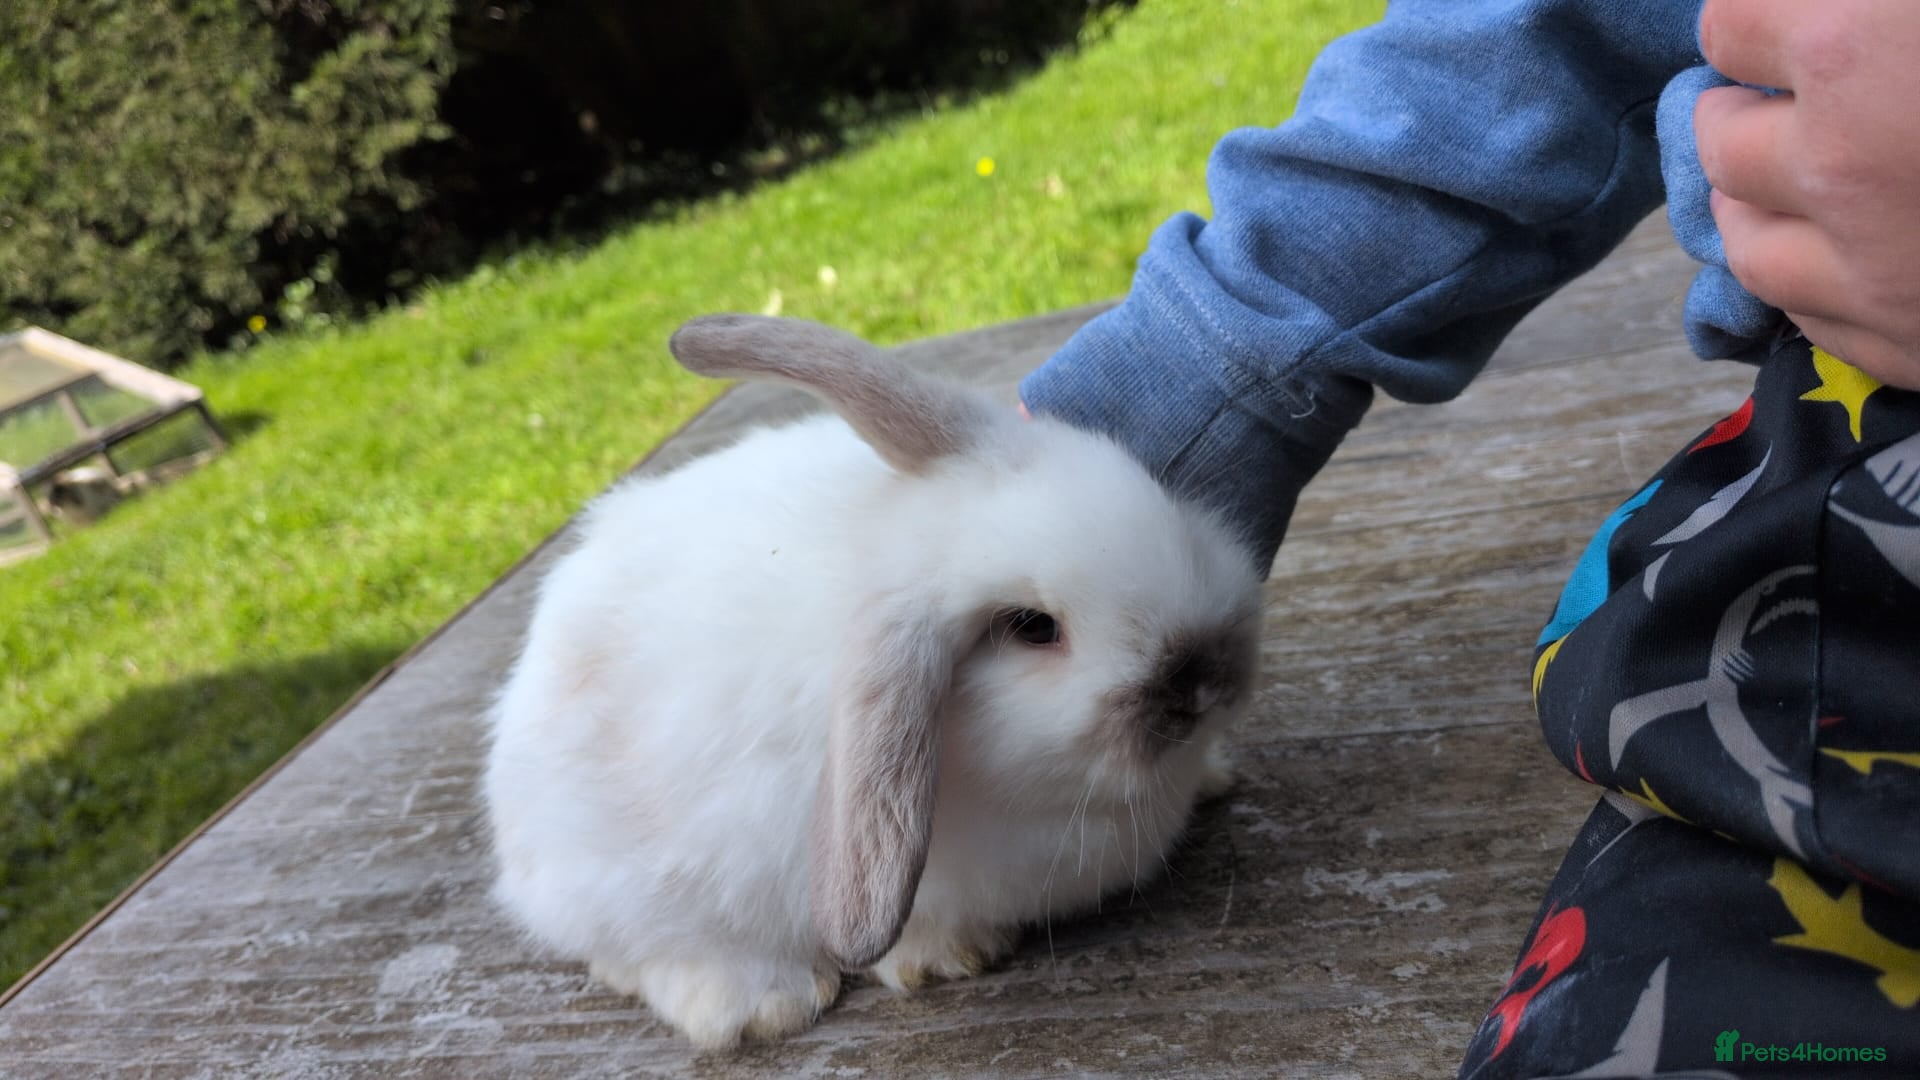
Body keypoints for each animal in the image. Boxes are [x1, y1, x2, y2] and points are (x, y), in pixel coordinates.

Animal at [483, 314, 1264, 1050]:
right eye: (1033, 627)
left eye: (1161, 498)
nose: (1204, 678)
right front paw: (947, 958)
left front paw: (1213, 773)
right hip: (625, 888)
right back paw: (763, 1006)